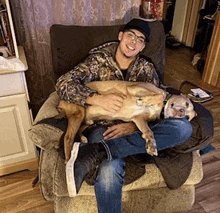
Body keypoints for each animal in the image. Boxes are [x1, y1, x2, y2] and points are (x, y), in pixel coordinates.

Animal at [55, 80, 197, 161]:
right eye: (186, 103)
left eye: (187, 118)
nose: (182, 113)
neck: (161, 108)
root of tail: (60, 102)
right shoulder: (135, 88)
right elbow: (160, 95)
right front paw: (144, 100)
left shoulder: (139, 119)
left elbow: (149, 132)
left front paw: (151, 145)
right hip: (78, 113)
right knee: (68, 137)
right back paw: (68, 160)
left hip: (87, 121)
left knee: (78, 131)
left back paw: (83, 138)